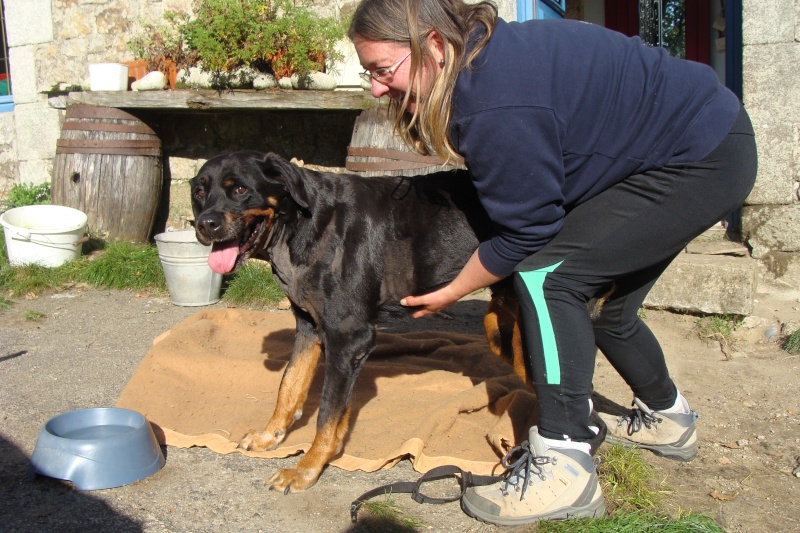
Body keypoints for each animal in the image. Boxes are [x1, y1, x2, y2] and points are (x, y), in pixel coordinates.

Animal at [188, 150, 504, 490]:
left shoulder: (349, 337)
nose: (206, 225)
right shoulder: (310, 328)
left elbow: (326, 412)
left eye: (240, 189)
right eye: (199, 193)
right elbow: (289, 386)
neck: (303, 225)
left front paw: (307, 468)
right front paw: (270, 436)